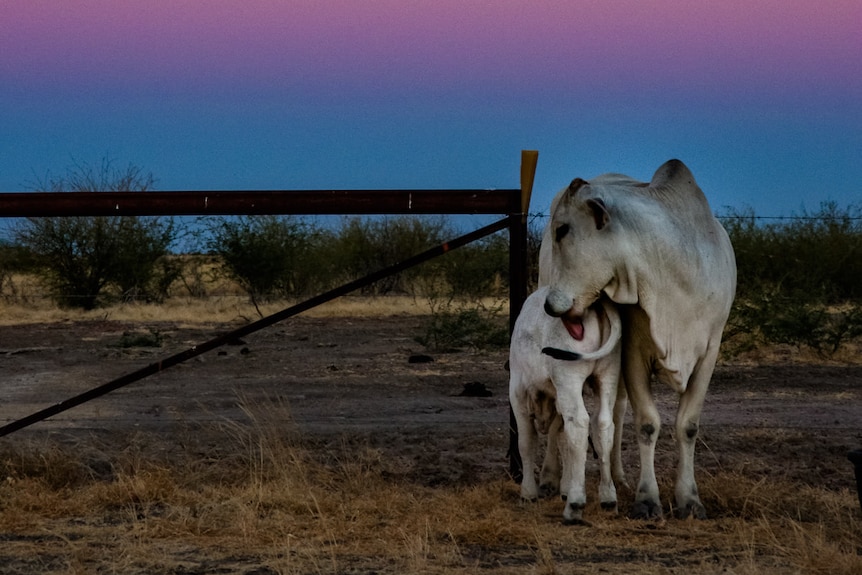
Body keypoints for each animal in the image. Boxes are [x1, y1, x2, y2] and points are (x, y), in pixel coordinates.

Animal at [512, 286, 628, 524]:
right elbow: (564, 439)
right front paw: (564, 486)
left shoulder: (517, 391)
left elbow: (526, 442)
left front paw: (528, 493)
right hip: (608, 374)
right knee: (603, 425)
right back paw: (608, 498)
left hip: (569, 375)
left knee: (579, 423)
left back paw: (575, 503)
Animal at [540, 159, 736, 520]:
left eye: (564, 229)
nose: (548, 305)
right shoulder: (634, 351)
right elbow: (647, 424)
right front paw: (647, 499)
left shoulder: (709, 353)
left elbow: (688, 425)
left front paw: (689, 499)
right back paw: (549, 478)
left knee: (615, 411)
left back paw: (617, 476)